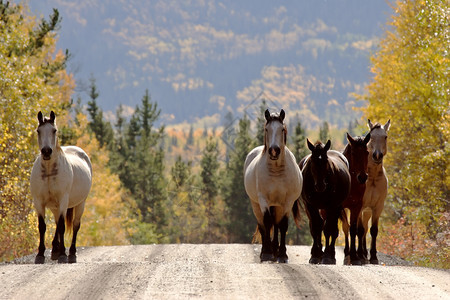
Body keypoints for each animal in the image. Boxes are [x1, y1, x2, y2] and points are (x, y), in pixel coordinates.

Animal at [30, 111, 92, 264]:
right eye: (38, 131)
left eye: (54, 130)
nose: (46, 151)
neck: (49, 171)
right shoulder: (39, 202)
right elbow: (42, 226)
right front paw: (40, 255)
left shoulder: (63, 200)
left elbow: (63, 227)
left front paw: (63, 255)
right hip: (54, 207)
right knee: (57, 222)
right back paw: (55, 251)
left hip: (80, 204)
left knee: (75, 225)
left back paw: (71, 254)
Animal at [243, 108, 302, 262]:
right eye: (266, 129)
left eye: (282, 129)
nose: (274, 150)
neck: (276, 171)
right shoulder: (263, 200)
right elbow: (267, 222)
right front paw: (267, 253)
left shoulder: (287, 202)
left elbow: (282, 225)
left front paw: (282, 255)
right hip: (256, 204)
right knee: (263, 225)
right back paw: (266, 251)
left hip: (277, 205)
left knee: (276, 224)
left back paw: (275, 250)